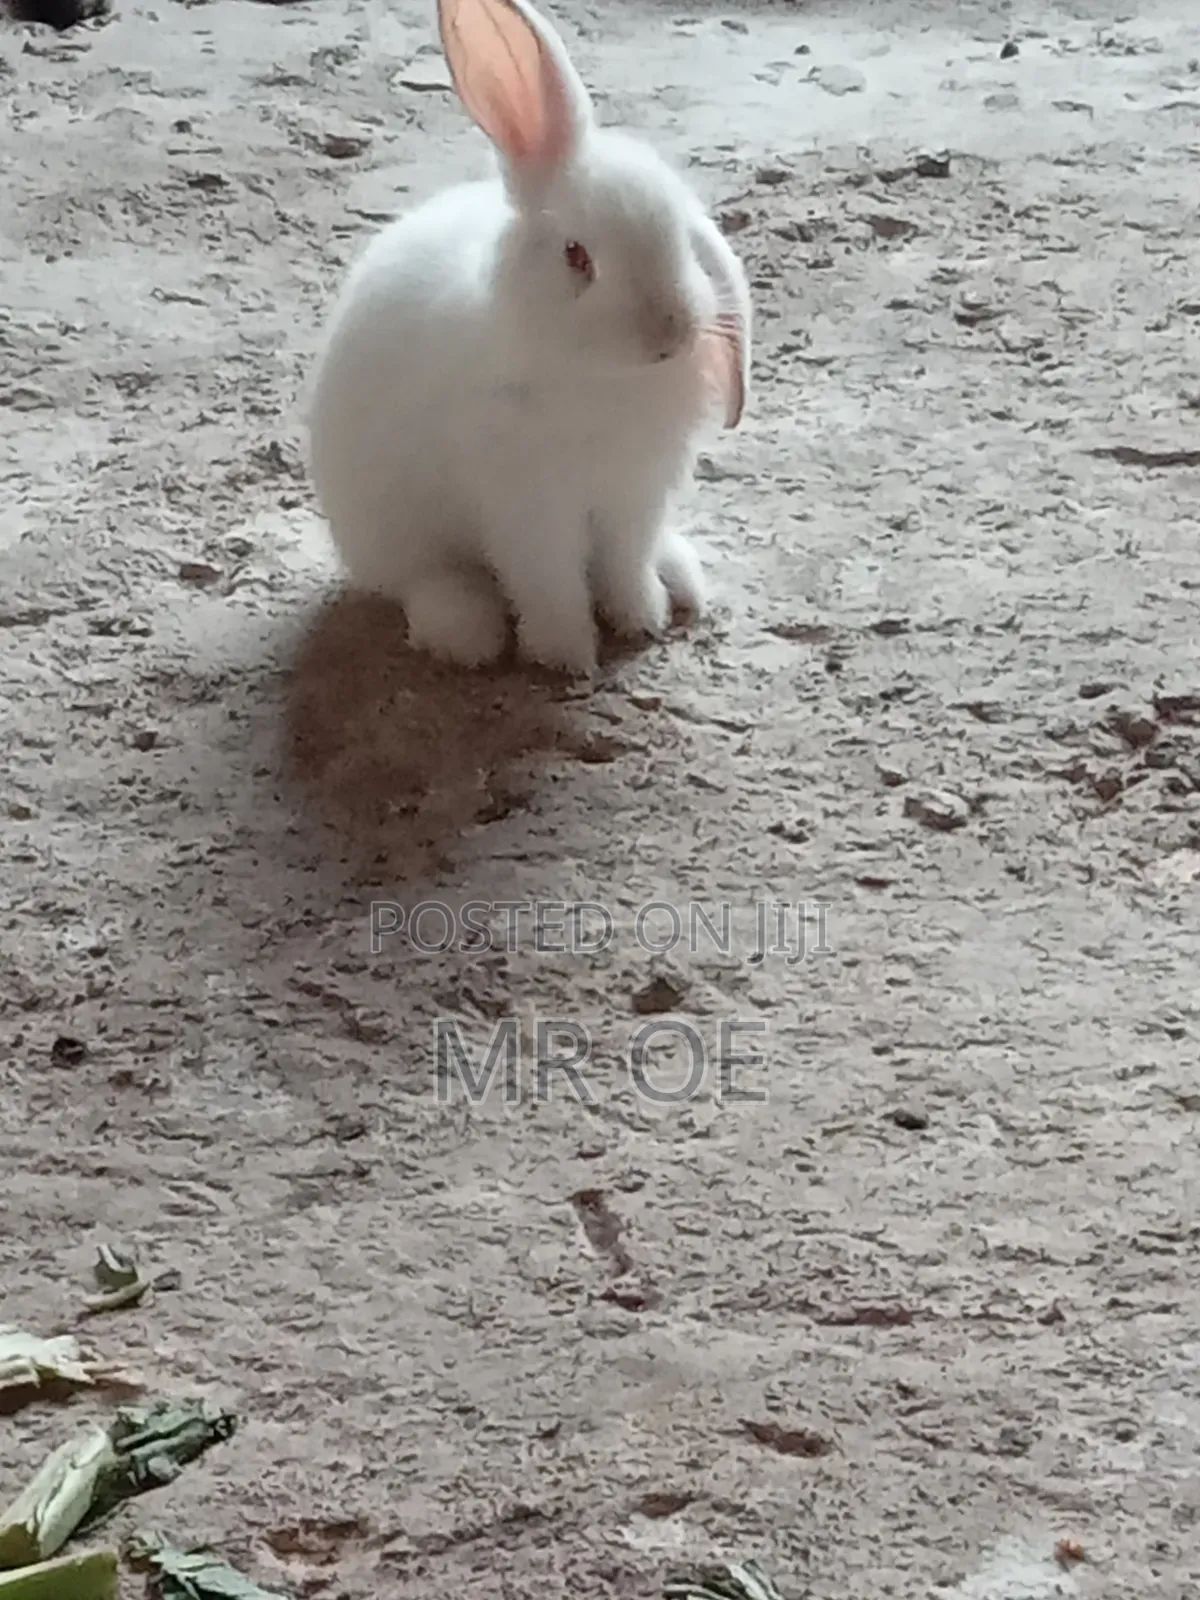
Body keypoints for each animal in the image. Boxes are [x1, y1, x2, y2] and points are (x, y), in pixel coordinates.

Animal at [304, 0, 751, 675]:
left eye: (681, 233)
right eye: (576, 257)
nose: (669, 330)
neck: (607, 377)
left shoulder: (634, 495)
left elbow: (623, 567)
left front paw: (641, 620)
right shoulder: (528, 506)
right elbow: (551, 583)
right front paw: (567, 657)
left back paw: (679, 578)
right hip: (393, 533)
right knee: (418, 581)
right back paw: (467, 629)